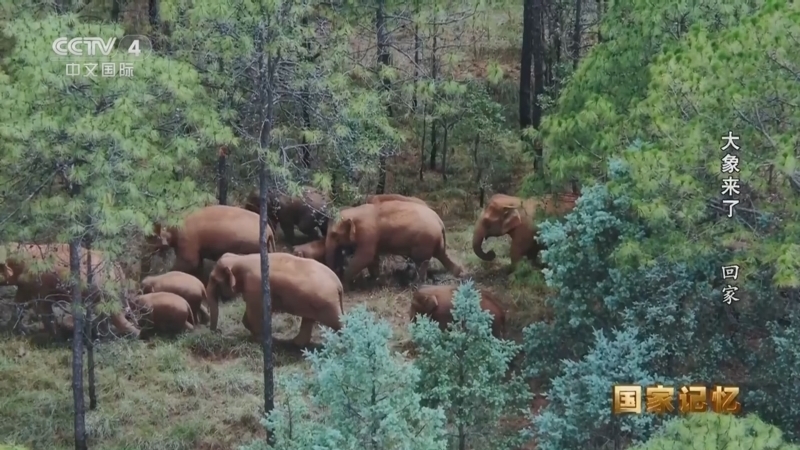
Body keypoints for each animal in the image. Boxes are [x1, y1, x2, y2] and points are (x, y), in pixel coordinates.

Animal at [0, 243, 140, 338]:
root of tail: (116, 267)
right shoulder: (24, 286)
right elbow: (18, 305)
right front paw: (15, 330)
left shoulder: (41, 286)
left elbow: (44, 310)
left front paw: (55, 336)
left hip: (106, 290)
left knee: (116, 315)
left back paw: (136, 334)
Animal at [205, 252, 344, 347]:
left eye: (214, 280)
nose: (218, 331)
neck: (239, 258)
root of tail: (339, 284)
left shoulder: (255, 286)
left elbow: (255, 313)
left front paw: (259, 340)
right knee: (308, 320)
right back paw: (295, 344)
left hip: (327, 304)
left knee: (338, 323)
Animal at [325, 200, 463, 288]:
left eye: (335, 235)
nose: (337, 271)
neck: (355, 211)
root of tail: (440, 221)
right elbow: (372, 258)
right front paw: (375, 279)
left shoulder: (368, 233)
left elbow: (365, 257)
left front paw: (344, 282)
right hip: (435, 241)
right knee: (441, 255)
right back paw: (458, 272)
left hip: (425, 241)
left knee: (421, 262)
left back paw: (415, 284)